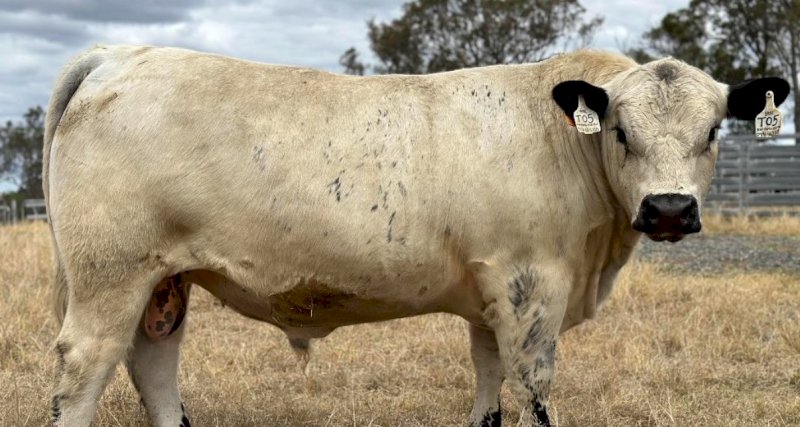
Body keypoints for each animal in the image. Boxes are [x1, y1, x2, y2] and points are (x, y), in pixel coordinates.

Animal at [44, 45, 788, 426]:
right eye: (621, 131)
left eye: (713, 131)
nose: (668, 209)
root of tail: (123, 53)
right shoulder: (533, 284)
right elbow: (534, 384)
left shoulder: (492, 291)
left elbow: (489, 379)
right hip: (109, 272)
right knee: (85, 369)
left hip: (162, 279)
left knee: (152, 362)